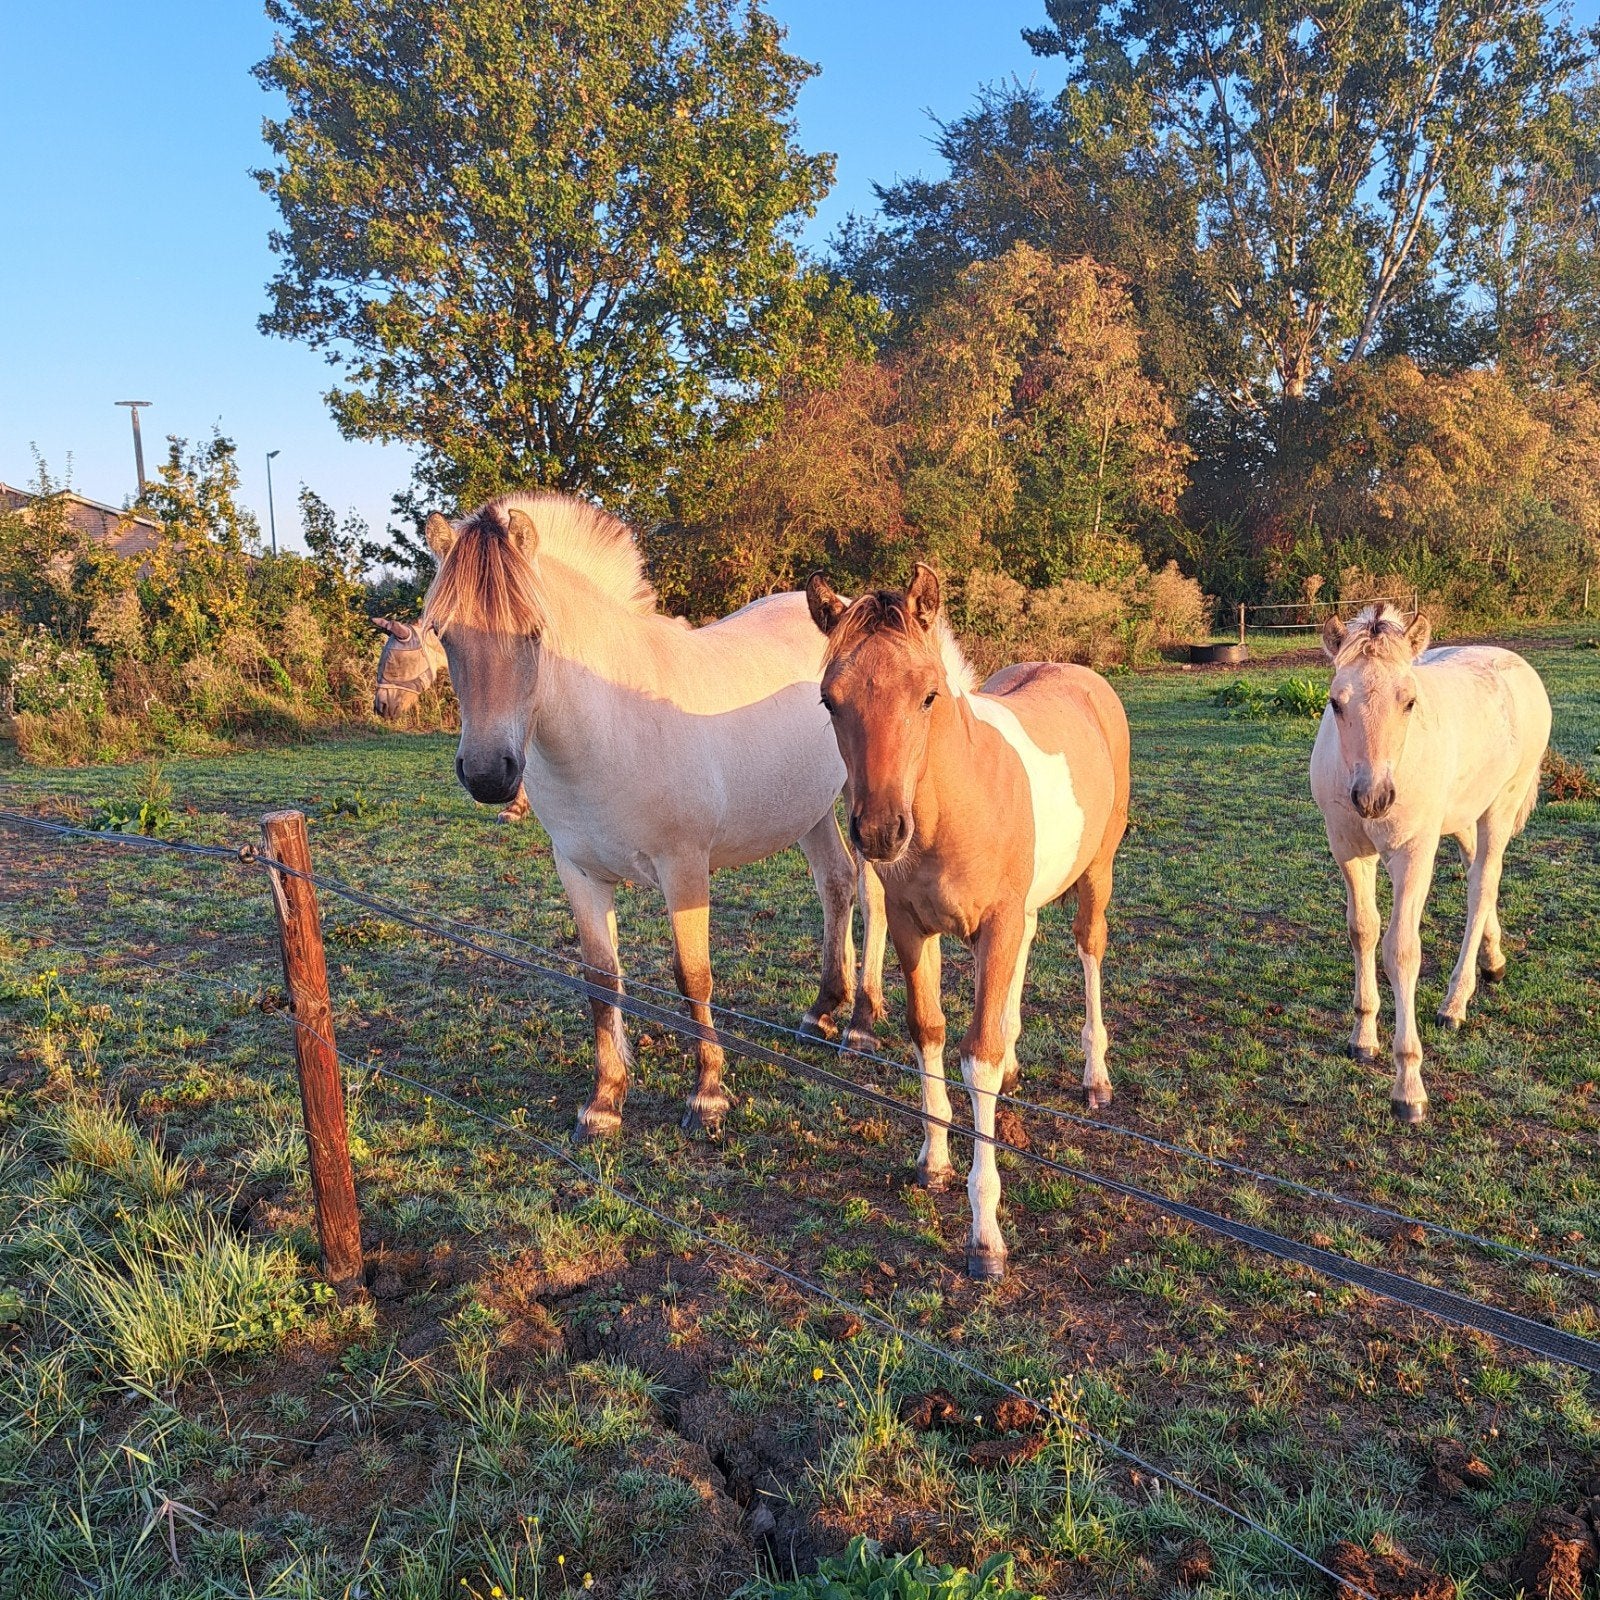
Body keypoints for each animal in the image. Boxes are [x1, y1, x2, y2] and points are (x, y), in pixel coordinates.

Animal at [419, 492, 887, 1139]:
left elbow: (693, 977)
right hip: (809, 812)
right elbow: (601, 980)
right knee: (836, 885)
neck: (614, 723)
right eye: (443, 633)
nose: (489, 774)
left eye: (536, 633)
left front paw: (707, 1097)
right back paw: (821, 1011)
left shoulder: (683, 868)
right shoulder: (580, 872)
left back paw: (861, 1024)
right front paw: (604, 1102)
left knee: (872, 895)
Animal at [806, 564, 1130, 1280]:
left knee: (1088, 950)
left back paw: (1095, 1079)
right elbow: (927, 1030)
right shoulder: (911, 928)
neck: (955, 802)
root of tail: (1084, 677)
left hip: (1095, 875)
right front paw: (933, 1162)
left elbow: (975, 1054)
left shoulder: (996, 923)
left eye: (927, 696)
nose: (880, 832)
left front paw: (986, 1238)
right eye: (829, 701)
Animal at [1310, 604, 1551, 1124]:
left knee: (1483, 886)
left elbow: (1401, 949)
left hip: (1500, 806)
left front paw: (1409, 1087)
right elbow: (1362, 929)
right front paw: (1363, 1038)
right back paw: (1493, 961)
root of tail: (1517, 664)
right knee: (1475, 872)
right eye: (1336, 702)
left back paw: (1455, 1003)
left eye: (1409, 702)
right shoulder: (1347, 846)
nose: (1374, 796)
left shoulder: (1414, 852)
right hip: (1462, 815)